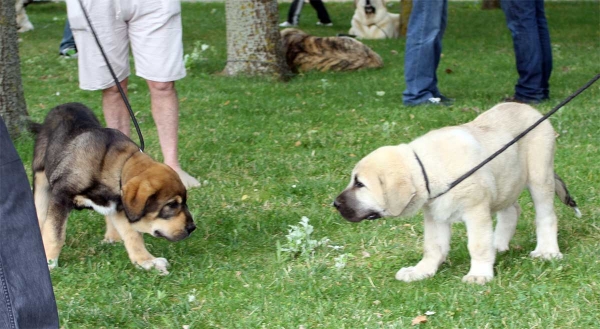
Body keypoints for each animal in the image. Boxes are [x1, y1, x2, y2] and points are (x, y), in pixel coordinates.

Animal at [32, 103, 195, 274]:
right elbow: (55, 233)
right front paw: (49, 262)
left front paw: (146, 261)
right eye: (171, 205)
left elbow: (133, 235)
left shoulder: (120, 207)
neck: (114, 169)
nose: (192, 228)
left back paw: (113, 237)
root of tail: (64, 105)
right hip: (40, 175)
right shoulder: (61, 196)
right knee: (40, 211)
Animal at [332, 102, 580, 282]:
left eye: (360, 184)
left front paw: (479, 274)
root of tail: (531, 109)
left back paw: (547, 251)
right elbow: (433, 247)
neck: (426, 169)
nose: (335, 204)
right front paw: (421, 271)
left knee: (546, 215)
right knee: (512, 211)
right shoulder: (435, 215)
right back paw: (498, 244)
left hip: (539, 175)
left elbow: (477, 245)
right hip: (506, 181)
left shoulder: (476, 210)